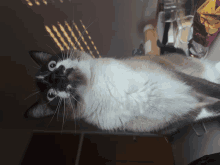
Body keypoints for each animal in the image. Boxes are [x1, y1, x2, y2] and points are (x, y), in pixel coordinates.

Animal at [24, 49, 220, 135]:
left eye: (52, 65)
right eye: (51, 94)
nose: (57, 77)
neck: (99, 89)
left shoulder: (184, 80)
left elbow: (212, 89)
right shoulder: (187, 115)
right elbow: (215, 108)